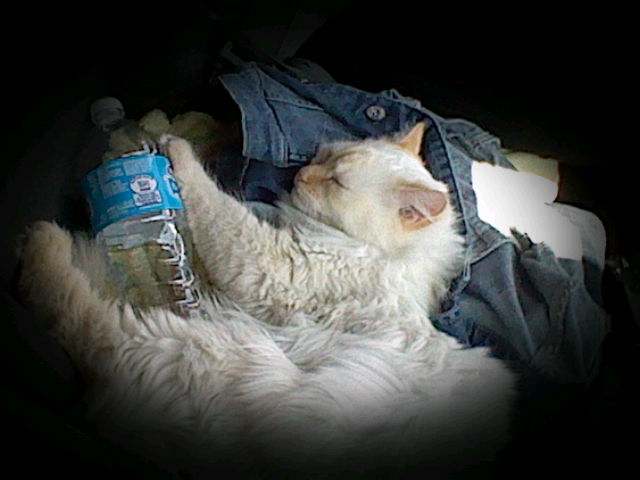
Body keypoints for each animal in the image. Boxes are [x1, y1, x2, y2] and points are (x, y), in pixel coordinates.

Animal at [17, 124, 516, 476]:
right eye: (322, 156)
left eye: (336, 182)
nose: (300, 174)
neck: (391, 259)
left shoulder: (269, 265)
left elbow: (210, 202)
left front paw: (174, 151)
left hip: (203, 347)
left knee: (88, 325)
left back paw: (43, 241)